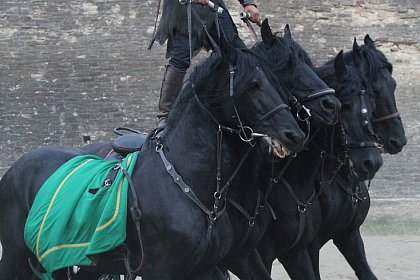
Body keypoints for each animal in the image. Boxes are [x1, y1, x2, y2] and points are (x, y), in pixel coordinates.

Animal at [0, 38, 306, 278]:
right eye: (254, 84)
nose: (295, 134)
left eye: (276, 82)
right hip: (16, 256)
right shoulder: (160, 270)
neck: (185, 183)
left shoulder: (205, 269)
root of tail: (15, 169)